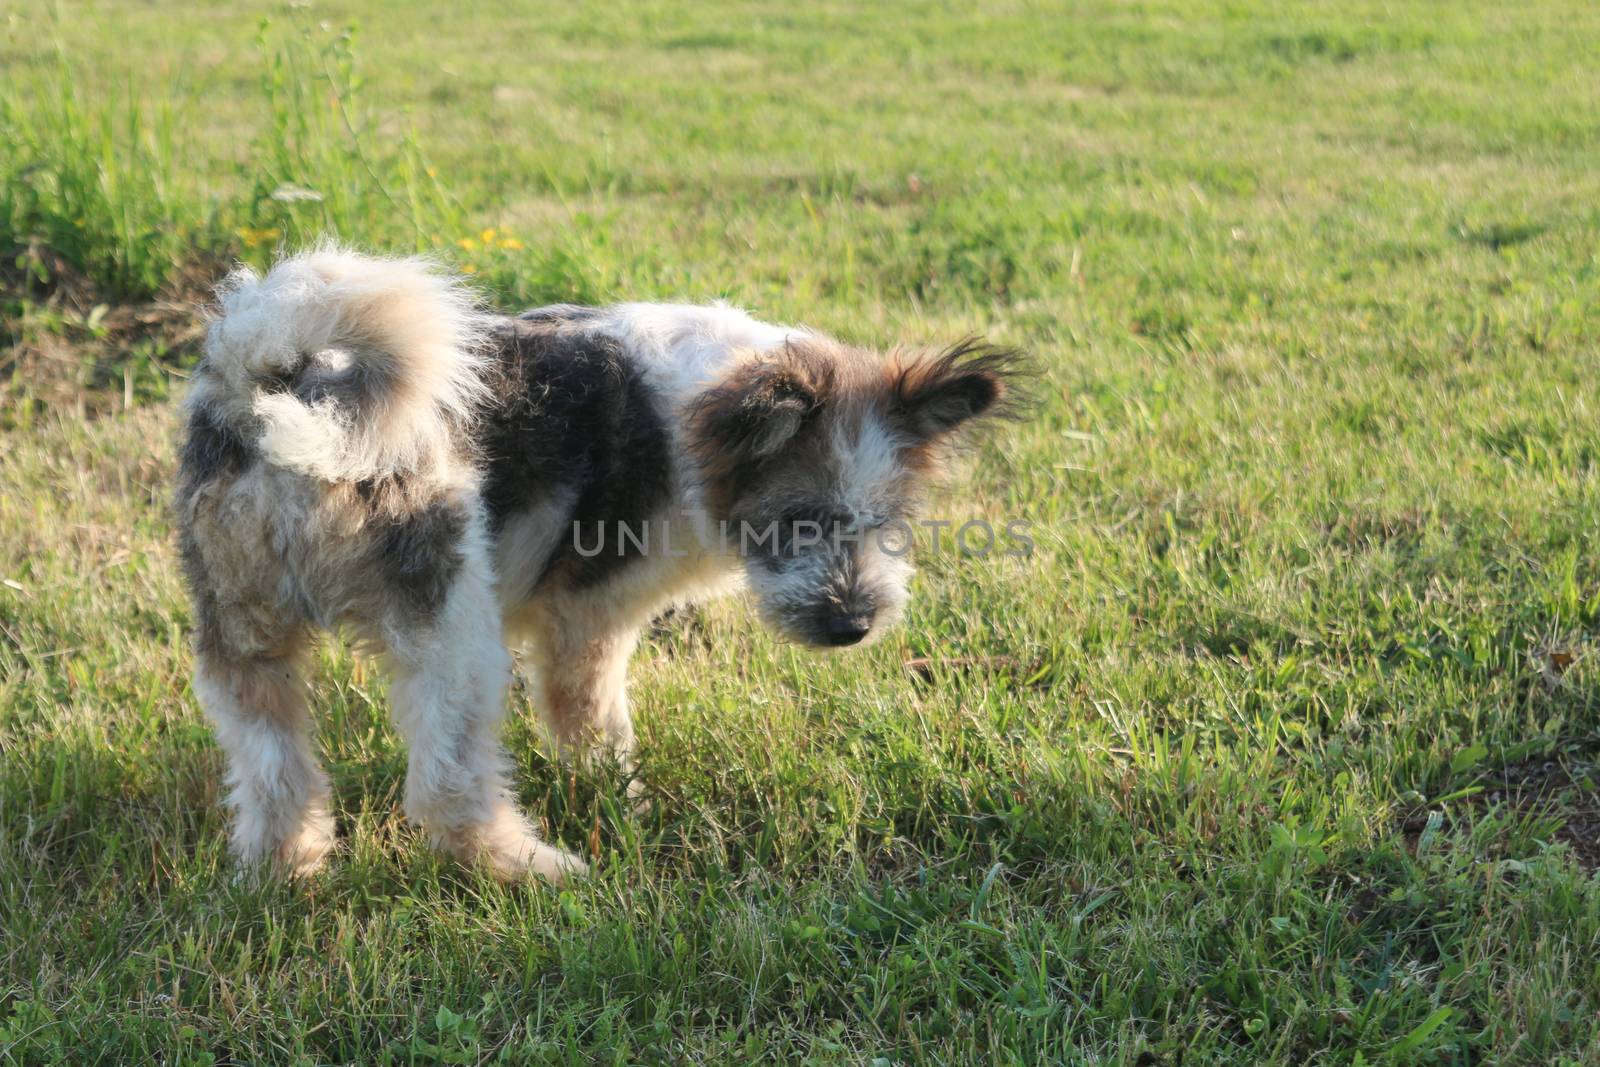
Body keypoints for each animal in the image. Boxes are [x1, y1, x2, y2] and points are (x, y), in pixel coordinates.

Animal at [175, 251, 1017, 883]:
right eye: (796, 519)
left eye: (888, 523)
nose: (854, 625)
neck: (694, 420)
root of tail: (284, 388)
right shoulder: (587, 618)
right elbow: (595, 724)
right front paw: (622, 806)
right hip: (455, 633)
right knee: (447, 791)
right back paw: (537, 867)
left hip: (242, 630)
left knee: (274, 771)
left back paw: (288, 870)